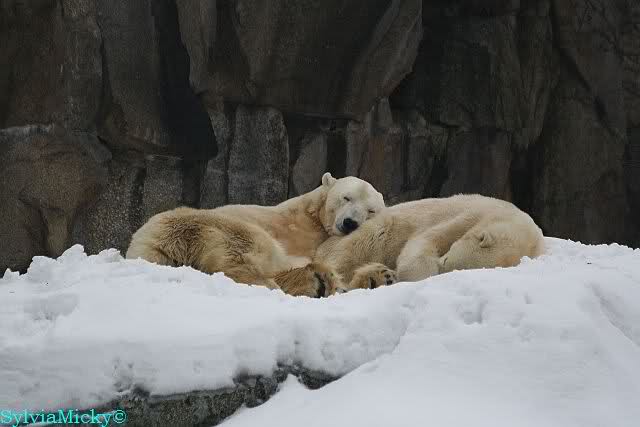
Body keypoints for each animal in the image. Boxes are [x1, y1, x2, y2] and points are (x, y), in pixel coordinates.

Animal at [315, 194, 545, 290]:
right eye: (447, 261)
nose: (440, 265)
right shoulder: (468, 215)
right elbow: (426, 240)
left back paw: (379, 277)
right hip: (372, 232)